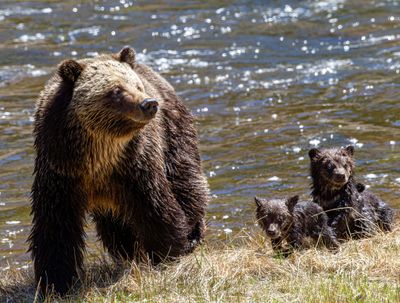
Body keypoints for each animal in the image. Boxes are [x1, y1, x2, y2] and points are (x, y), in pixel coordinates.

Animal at [28, 47, 209, 296]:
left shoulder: (135, 165)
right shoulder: (60, 173)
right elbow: (55, 227)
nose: (149, 103)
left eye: (137, 85)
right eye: (116, 90)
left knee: (185, 179)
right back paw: (129, 253)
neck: (98, 158)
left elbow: (155, 207)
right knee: (116, 228)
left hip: (173, 135)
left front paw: (169, 251)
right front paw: (55, 281)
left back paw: (192, 232)